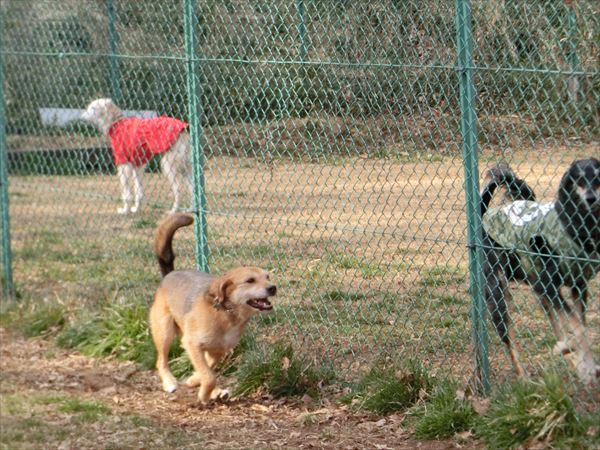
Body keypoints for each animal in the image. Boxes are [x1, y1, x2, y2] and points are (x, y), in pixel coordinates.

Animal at [149, 213, 277, 403]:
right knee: (161, 361)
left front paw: (195, 381)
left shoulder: (218, 350)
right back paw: (170, 382)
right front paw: (203, 394)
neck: (226, 314)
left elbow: (207, 370)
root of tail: (169, 274)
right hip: (164, 332)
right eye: (250, 280)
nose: (273, 288)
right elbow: (209, 376)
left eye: (267, 277)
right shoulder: (192, 343)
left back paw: (215, 391)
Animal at [480, 158, 599, 383]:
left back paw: (567, 353)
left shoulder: (578, 286)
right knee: (509, 340)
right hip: (498, 294)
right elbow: (578, 327)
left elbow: (580, 324)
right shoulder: (549, 285)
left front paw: (585, 363)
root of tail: (485, 218)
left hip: (537, 289)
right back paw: (524, 375)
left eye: (597, 178)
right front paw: (586, 366)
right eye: (579, 179)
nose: (591, 198)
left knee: (557, 326)